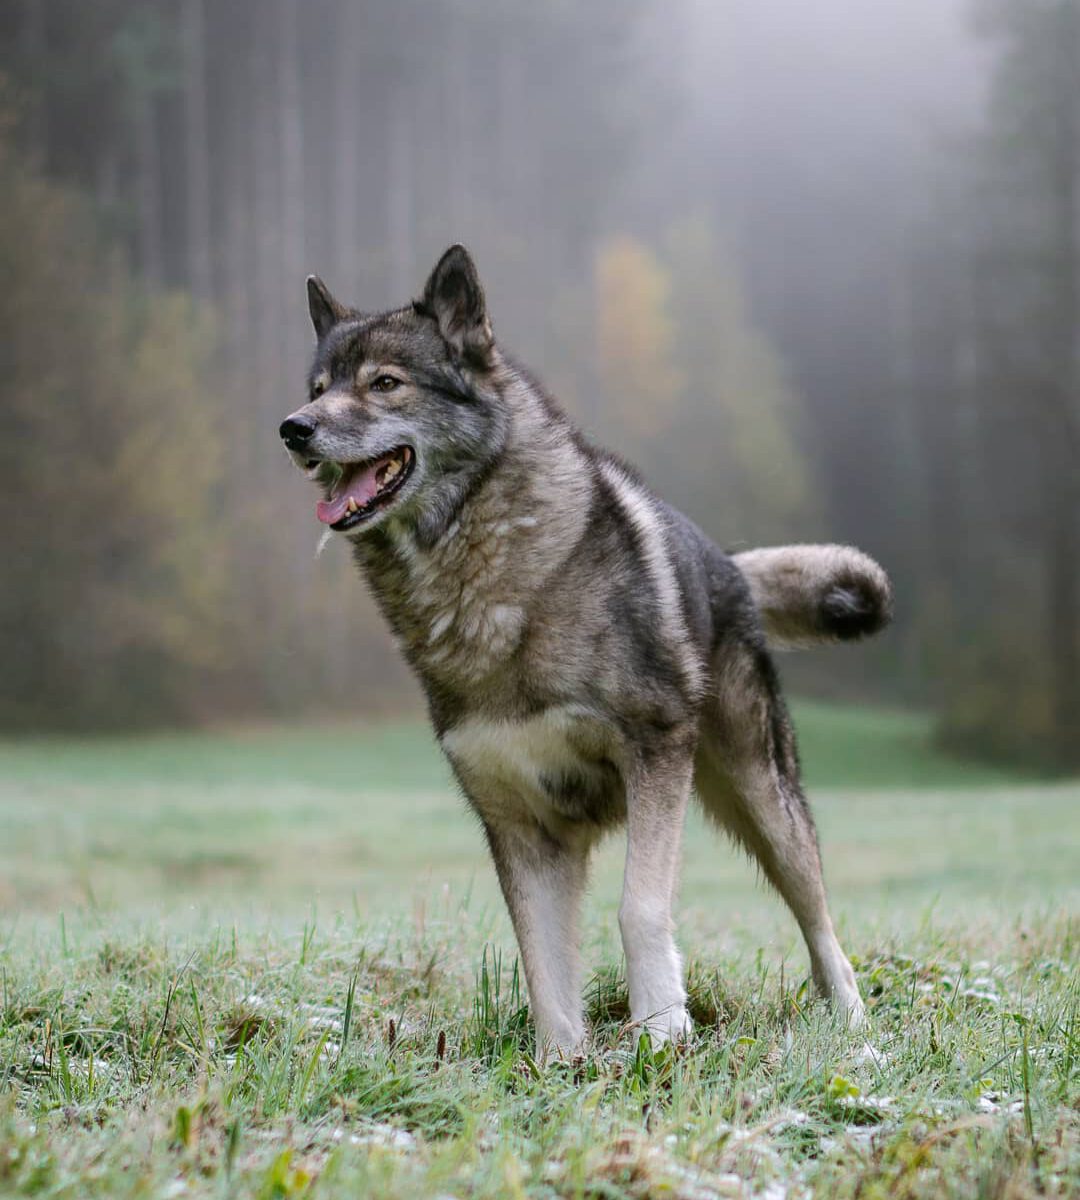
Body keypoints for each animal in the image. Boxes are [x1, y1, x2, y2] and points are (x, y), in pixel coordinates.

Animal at [280, 248, 892, 1056]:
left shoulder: (653, 754)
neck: (484, 580)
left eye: (385, 383)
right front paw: (560, 1065)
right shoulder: (523, 825)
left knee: (822, 925)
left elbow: (640, 910)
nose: (292, 429)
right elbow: (542, 966)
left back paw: (853, 1030)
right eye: (319, 389)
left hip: (763, 801)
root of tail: (726, 564)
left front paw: (661, 1033)